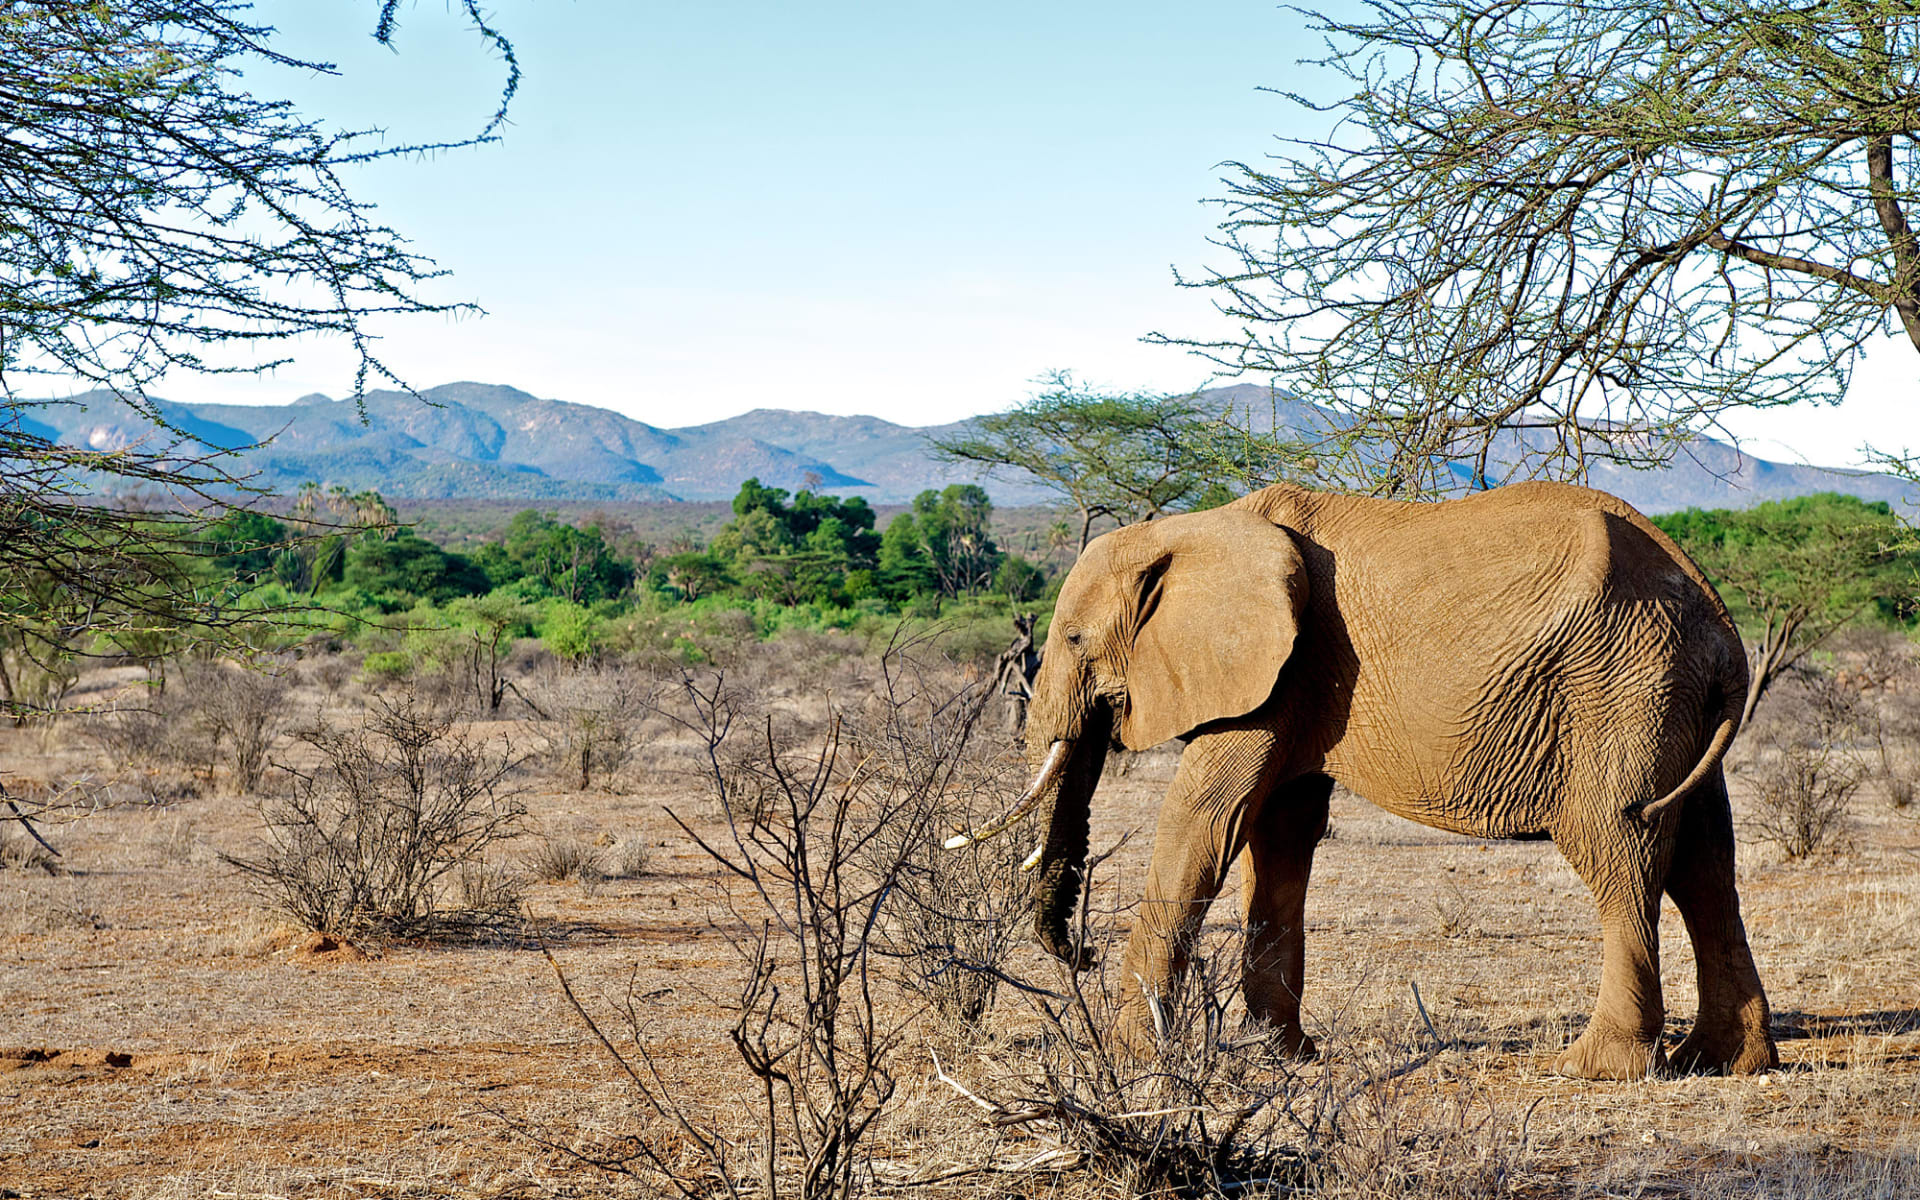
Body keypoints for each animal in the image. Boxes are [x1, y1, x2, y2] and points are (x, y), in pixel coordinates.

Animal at [960, 481, 1781, 1082]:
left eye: (1073, 639)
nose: (1080, 956)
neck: (1194, 529)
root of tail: (1723, 626)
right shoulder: (1296, 680)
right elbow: (1279, 834)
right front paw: (1280, 1056)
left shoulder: (1277, 671)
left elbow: (1204, 821)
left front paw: (1128, 1055)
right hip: (1673, 698)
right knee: (1706, 864)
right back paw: (1725, 1062)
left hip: (1621, 691)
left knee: (1621, 851)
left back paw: (1599, 1068)